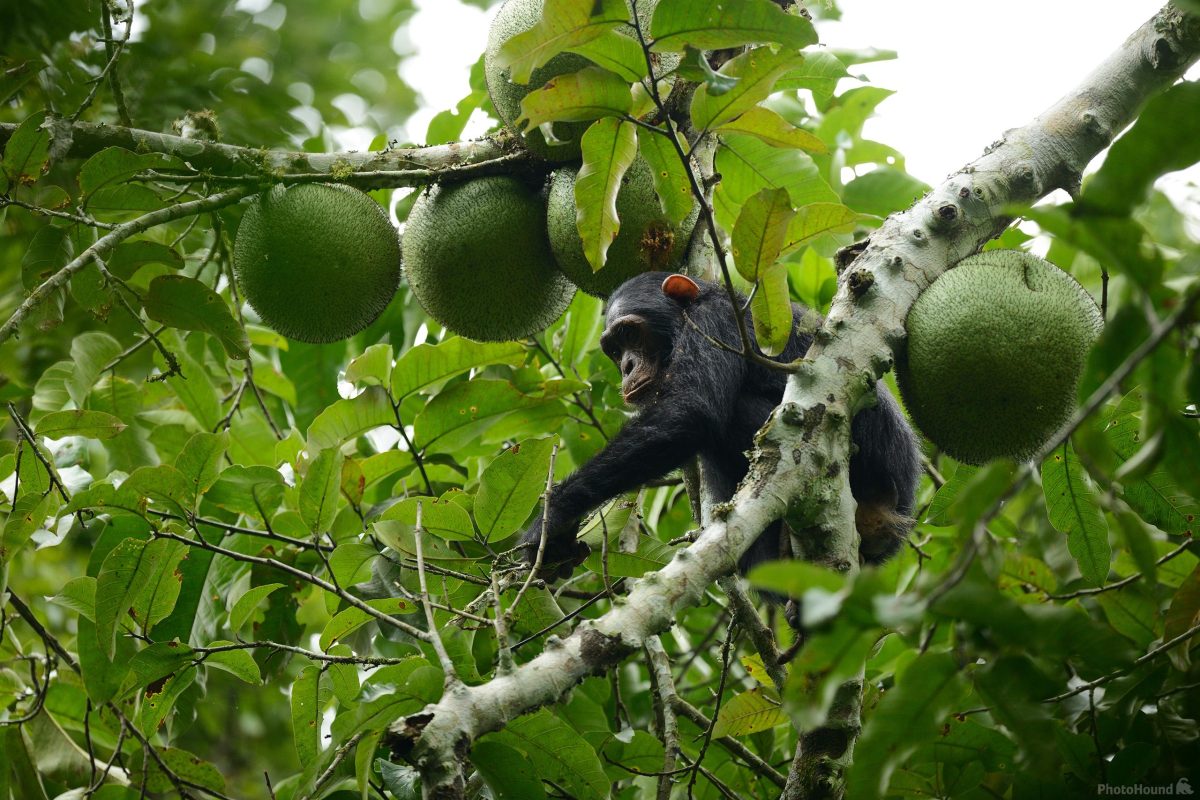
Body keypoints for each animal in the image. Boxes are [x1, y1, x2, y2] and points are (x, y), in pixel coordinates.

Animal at [516, 272, 916, 578]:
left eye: (629, 335)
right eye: (614, 350)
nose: (627, 366)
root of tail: (891, 515)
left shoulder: (714, 322)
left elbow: (690, 411)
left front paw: (554, 517)